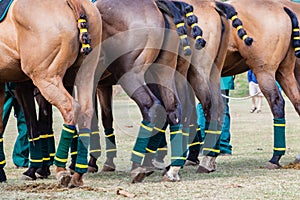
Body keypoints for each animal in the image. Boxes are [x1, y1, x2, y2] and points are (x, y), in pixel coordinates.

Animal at [0, 0, 102, 188]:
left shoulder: (21, 86)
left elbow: (33, 127)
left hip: (46, 78)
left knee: (70, 108)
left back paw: (61, 169)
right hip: (85, 73)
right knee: (86, 111)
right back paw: (78, 172)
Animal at [219, 0, 300, 169]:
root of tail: (282, 8)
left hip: (264, 71)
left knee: (277, 102)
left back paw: (275, 158)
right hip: (285, 71)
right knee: (297, 101)